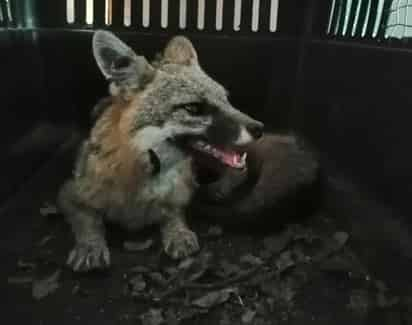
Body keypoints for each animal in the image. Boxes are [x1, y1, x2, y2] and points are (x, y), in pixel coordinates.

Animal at [57, 29, 264, 270]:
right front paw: (89, 246)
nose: (259, 128)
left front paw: (177, 232)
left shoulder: (182, 191)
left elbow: (172, 210)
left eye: (226, 100)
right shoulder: (69, 193)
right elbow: (87, 219)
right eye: (193, 108)